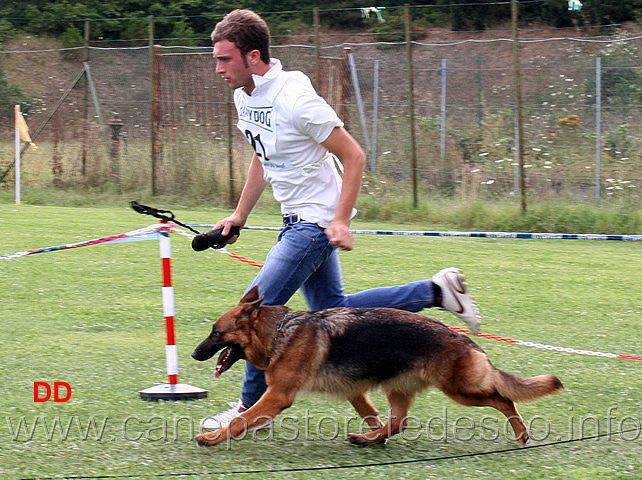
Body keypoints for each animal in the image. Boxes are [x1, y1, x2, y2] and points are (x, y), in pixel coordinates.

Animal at [190, 284, 560, 446]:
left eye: (216, 332)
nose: (194, 354)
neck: (281, 332)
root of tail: (464, 340)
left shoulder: (278, 396)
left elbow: (243, 420)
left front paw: (213, 438)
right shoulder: (355, 392)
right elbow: (372, 414)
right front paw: (373, 432)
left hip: (461, 390)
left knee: (503, 398)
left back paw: (522, 433)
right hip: (400, 389)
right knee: (399, 423)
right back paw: (369, 439)